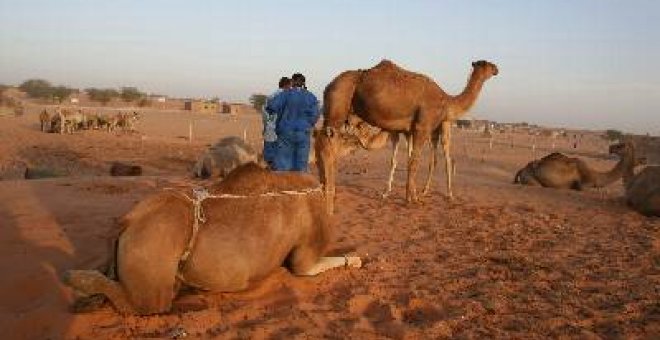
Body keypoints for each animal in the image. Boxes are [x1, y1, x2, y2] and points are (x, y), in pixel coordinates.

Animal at [65, 163, 364, 314]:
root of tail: (128, 221)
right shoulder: (306, 254)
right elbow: (312, 266)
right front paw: (358, 258)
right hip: (152, 269)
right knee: (143, 304)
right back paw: (76, 280)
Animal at [318, 58, 498, 212]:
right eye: (486, 64)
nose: (497, 68)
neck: (446, 102)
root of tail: (328, 85)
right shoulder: (422, 127)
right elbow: (414, 162)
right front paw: (413, 200)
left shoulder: (409, 129)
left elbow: (409, 159)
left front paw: (408, 196)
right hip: (338, 107)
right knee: (327, 146)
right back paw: (329, 194)